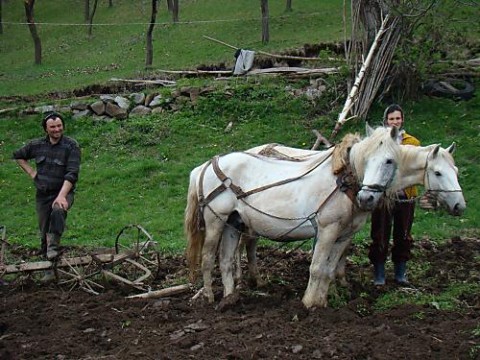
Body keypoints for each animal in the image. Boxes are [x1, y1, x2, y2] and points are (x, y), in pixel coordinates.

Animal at [186, 125, 404, 308]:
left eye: (389, 160)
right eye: (366, 159)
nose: (367, 198)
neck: (342, 182)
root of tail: (206, 165)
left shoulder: (344, 235)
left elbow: (329, 270)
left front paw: (323, 302)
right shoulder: (327, 230)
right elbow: (317, 268)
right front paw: (309, 303)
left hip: (233, 223)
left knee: (225, 260)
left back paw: (230, 297)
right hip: (215, 221)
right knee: (208, 258)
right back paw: (209, 296)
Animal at [238, 136, 466, 288]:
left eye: (455, 171)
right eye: (438, 172)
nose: (459, 206)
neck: (354, 177)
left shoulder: (349, 227)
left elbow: (342, 252)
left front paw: (340, 280)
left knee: (249, 243)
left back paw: (255, 279)